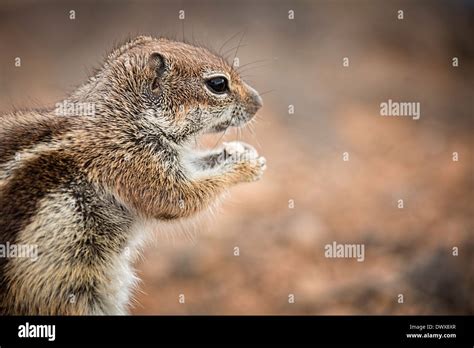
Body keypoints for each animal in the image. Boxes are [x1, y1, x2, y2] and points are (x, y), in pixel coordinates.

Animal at [0, 36, 266, 316]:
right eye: (218, 84)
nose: (258, 102)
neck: (122, 117)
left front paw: (238, 151)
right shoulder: (135, 163)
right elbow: (178, 198)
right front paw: (246, 166)